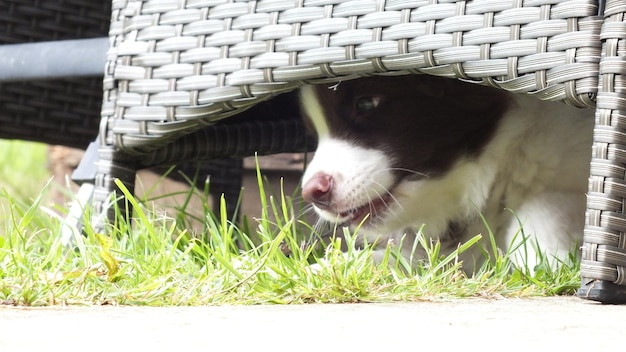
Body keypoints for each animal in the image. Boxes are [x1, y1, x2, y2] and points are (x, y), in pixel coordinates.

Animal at [300, 75, 592, 272]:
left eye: (366, 104)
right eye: (312, 135)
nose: (313, 193)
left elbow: (541, 207)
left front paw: (545, 262)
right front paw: (319, 270)